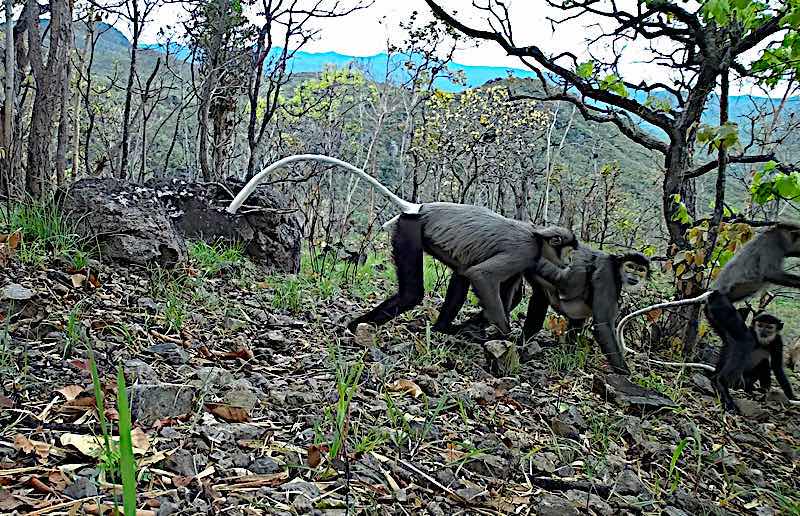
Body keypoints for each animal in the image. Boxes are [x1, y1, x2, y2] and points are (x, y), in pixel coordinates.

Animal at [228, 154, 580, 334]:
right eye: (566, 249)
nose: (568, 263)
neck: (537, 236)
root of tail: (418, 208)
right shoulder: (523, 252)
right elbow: (485, 277)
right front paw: (503, 335)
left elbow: (498, 286)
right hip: (408, 231)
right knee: (415, 292)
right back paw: (358, 326)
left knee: (461, 274)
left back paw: (442, 329)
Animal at [616, 224, 800, 414]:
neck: (781, 234)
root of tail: (711, 294)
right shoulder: (774, 244)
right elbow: (772, 273)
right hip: (721, 307)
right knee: (743, 340)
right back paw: (721, 383)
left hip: (714, 314)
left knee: (730, 342)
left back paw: (717, 379)